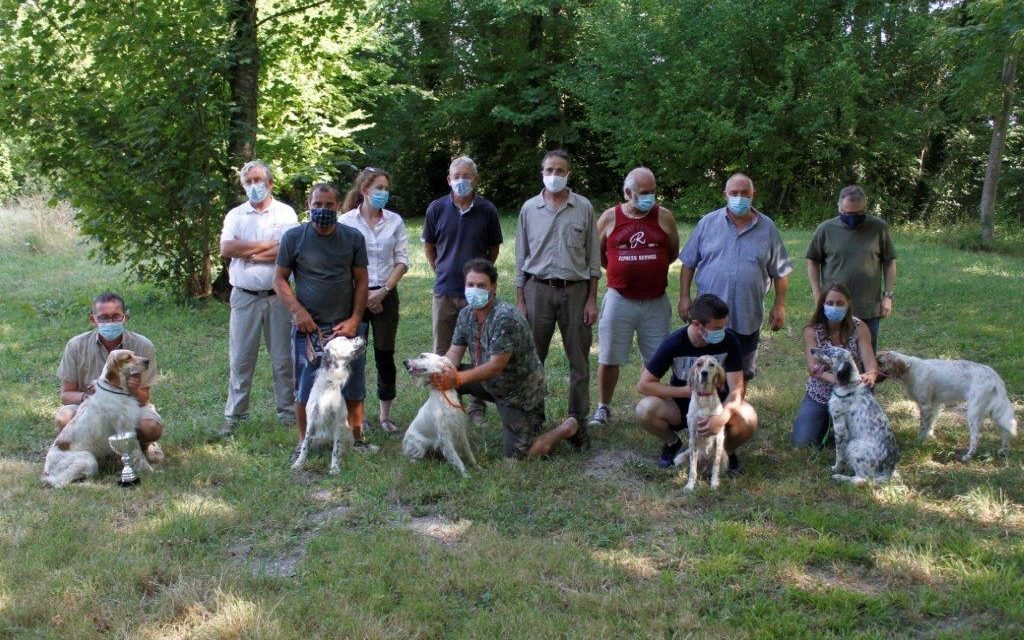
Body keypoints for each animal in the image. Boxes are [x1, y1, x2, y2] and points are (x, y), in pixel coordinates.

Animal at [41, 346, 152, 487]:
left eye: (134, 354)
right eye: (127, 358)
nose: (147, 361)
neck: (114, 387)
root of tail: (47, 472)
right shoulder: (124, 427)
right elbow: (137, 453)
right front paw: (148, 470)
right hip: (88, 459)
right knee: (62, 483)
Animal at [290, 333, 366, 475]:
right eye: (345, 339)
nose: (362, 336)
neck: (328, 386)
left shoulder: (338, 423)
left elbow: (336, 450)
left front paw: (334, 467)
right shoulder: (312, 421)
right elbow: (305, 446)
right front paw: (299, 463)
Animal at [671, 354, 729, 489]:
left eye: (712, 364)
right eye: (699, 364)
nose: (704, 373)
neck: (705, 397)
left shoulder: (719, 437)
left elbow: (715, 467)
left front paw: (714, 484)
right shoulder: (693, 436)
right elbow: (692, 469)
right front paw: (689, 486)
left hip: (725, 458)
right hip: (681, 457)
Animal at [811, 344, 901, 483]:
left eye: (828, 352)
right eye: (826, 346)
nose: (812, 350)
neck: (849, 383)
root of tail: (888, 471)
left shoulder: (839, 427)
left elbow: (839, 455)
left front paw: (836, 469)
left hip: (853, 445)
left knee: (861, 480)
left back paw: (840, 477)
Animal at [876, 350, 1019, 458]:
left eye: (881, 363)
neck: (910, 369)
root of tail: (995, 377)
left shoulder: (926, 406)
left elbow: (923, 427)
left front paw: (918, 442)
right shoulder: (934, 405)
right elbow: (930, 425)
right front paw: (930, 437)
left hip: (973, 412)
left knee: (976, 436)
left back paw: (967, 456)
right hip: (995, 411)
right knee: (1005, 431)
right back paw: (1003, 451)